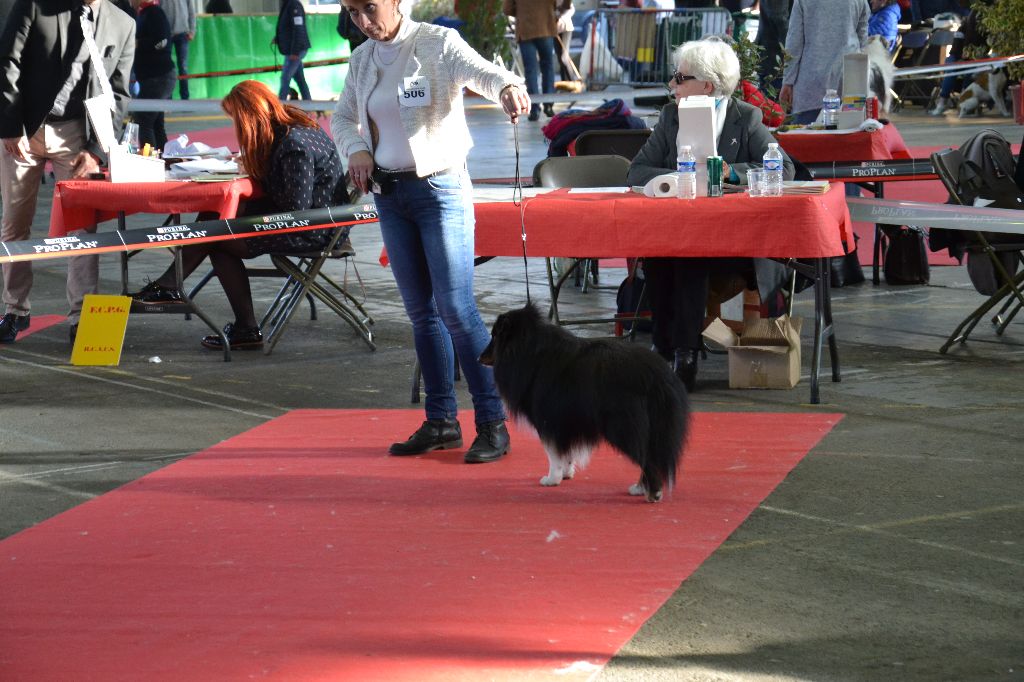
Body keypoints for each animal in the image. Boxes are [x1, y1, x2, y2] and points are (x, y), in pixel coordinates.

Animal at [477, 303, 688, 499]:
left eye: (495, 336)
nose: (479, 358)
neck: (528, 351)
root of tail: (659, 376)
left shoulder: (548, 420)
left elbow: (553, 453)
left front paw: (552, 479)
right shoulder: (566, 421)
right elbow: (566, 453)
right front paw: (566, 474)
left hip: (624, 426)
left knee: (647, 458)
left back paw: (650, 492)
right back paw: (641, 488)